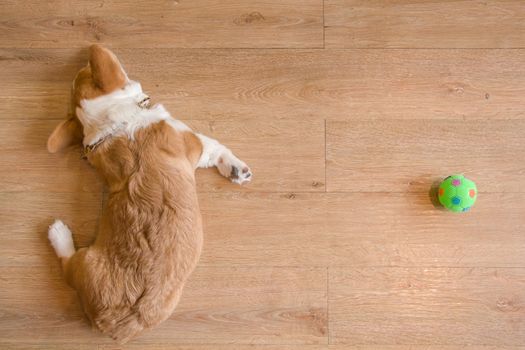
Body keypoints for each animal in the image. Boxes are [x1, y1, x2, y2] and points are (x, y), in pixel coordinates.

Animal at [46, 45, 251, 344]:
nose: (82, 59)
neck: (116, 122)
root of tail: (114, 322)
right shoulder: (194, 142)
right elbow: (216, 147)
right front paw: (236, 168)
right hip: (84, 261)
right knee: (66, 265)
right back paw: (59, 233)